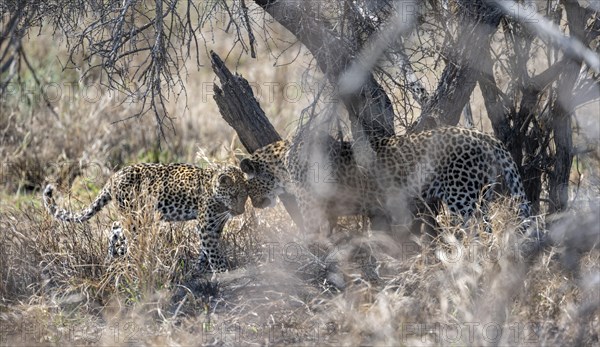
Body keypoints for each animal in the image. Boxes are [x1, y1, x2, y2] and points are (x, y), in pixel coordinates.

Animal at [43, 163, 247, 274]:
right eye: (234, 195)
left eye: (245, 196)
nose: (240, 211)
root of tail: (112, 178)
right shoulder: (206, 225)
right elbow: (212, 249)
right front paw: (221, 271)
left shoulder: (215, 226)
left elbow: (208, 249)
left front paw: (200, 267)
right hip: (135, 216)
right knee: (128, 235)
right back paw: (130, 260)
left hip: (137, 216)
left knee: (116, 226)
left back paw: (112, 256)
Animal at [239, 126, 528, 238]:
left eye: (247, 187)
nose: (252, 204)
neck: (281, 164)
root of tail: (482, 135)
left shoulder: (311, 209)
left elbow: (311, 235)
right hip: (479, 196)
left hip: (464, 200)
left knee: (482, 230)